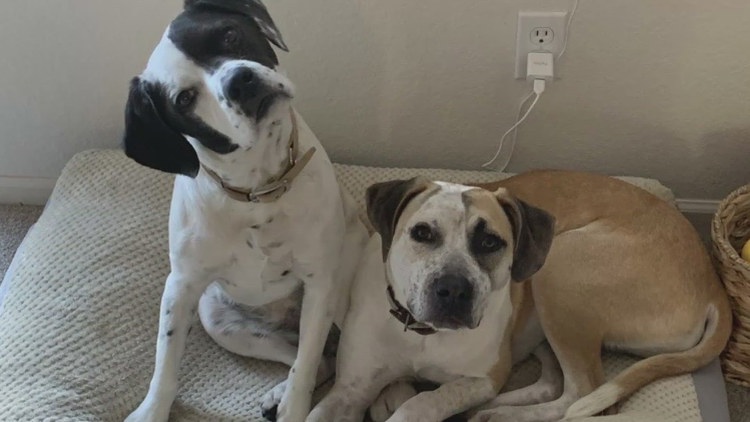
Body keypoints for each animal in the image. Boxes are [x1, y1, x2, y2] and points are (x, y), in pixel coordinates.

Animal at [121, 1, 368, 421]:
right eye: (184, 98)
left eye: (229, 35)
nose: (240, 80)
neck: (258, 190)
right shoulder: (181, 288)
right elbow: (165, 364)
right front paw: (152, 411)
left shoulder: (319, 284)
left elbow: (304, 369)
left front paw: (293, 407)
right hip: (220, 321)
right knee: (317, 359)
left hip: (339, 301)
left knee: (318, 358)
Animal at [306, 170, 731, 422]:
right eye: (422, 233)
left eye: (490, 242)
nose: (454, 289)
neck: (424, 334)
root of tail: (713, 284)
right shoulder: (350, 388)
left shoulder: (482, 377)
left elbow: (421, 402)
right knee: (555, 382)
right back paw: (492, 410)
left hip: (560, 265)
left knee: (584, 392)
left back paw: (499, 414)